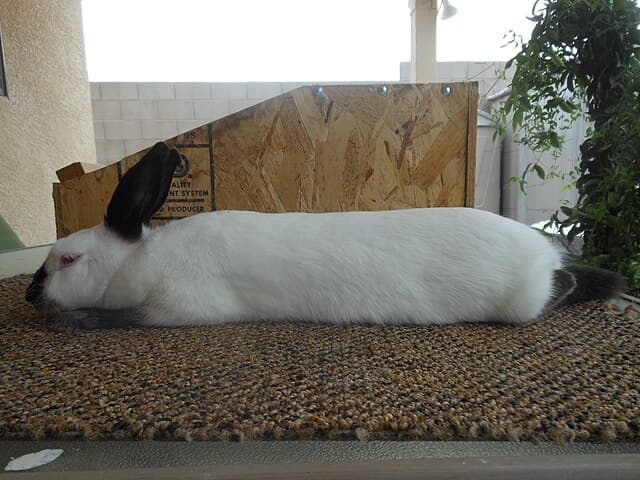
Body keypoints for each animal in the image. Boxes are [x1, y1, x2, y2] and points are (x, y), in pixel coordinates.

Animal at [26, 142, 626, 332]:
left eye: (68, 259)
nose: (31, 295)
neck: (140, 261)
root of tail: (544, 256)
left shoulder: (179, 306)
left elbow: (124, 319)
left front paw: (73, 321)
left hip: (521, 300)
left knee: (558, 291)